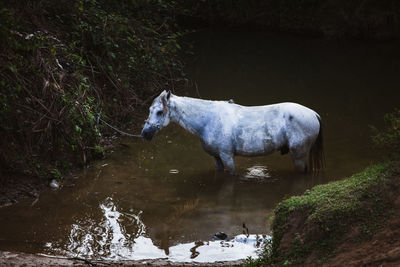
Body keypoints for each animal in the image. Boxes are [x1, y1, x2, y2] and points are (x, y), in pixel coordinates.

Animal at [139, 91, 324, 176]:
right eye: (149, 110)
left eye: (160, 112)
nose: (145, 133)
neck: (208, 120)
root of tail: (313, 114)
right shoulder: (216, 157)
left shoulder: (227, 156)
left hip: (299, 154)